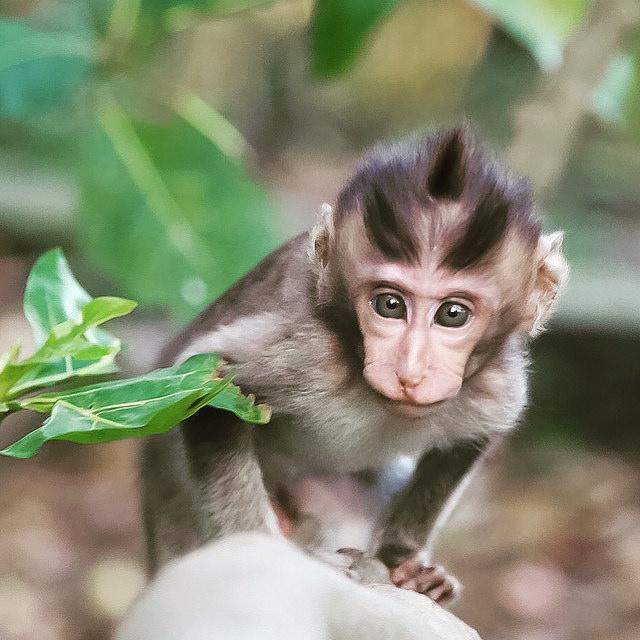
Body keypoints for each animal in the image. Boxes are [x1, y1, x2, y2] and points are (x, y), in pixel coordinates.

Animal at [140, 127, 567, 605]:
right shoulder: (310, 355)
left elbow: (468, 439)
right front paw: (271, 553)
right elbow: (212, 387)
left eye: (453, 314)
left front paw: (405, 559)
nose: (410, 371)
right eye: (390, 305)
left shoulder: (498, 383)